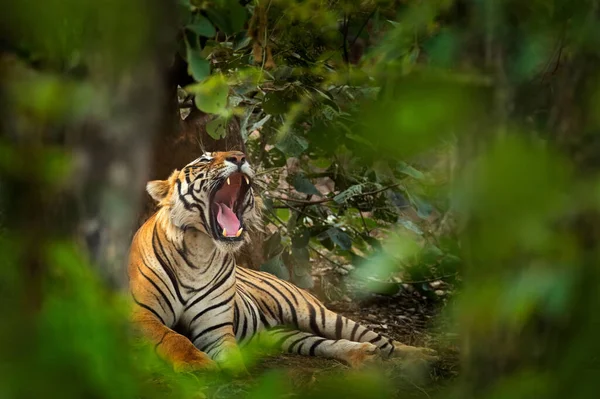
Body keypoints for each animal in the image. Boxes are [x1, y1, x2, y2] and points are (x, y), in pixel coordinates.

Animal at [127, 151, 436, 376]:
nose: (239, 156)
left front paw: (232, 370)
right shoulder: (142, 315)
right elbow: (173, 337)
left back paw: (424, 356)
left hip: (316, 314)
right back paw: (364, 355)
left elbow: (228, 353)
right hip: (286, 335)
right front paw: (198, 365)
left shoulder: (215, 327)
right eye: (204, 159)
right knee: (328, 344)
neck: (199, 251)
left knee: (381, 339)